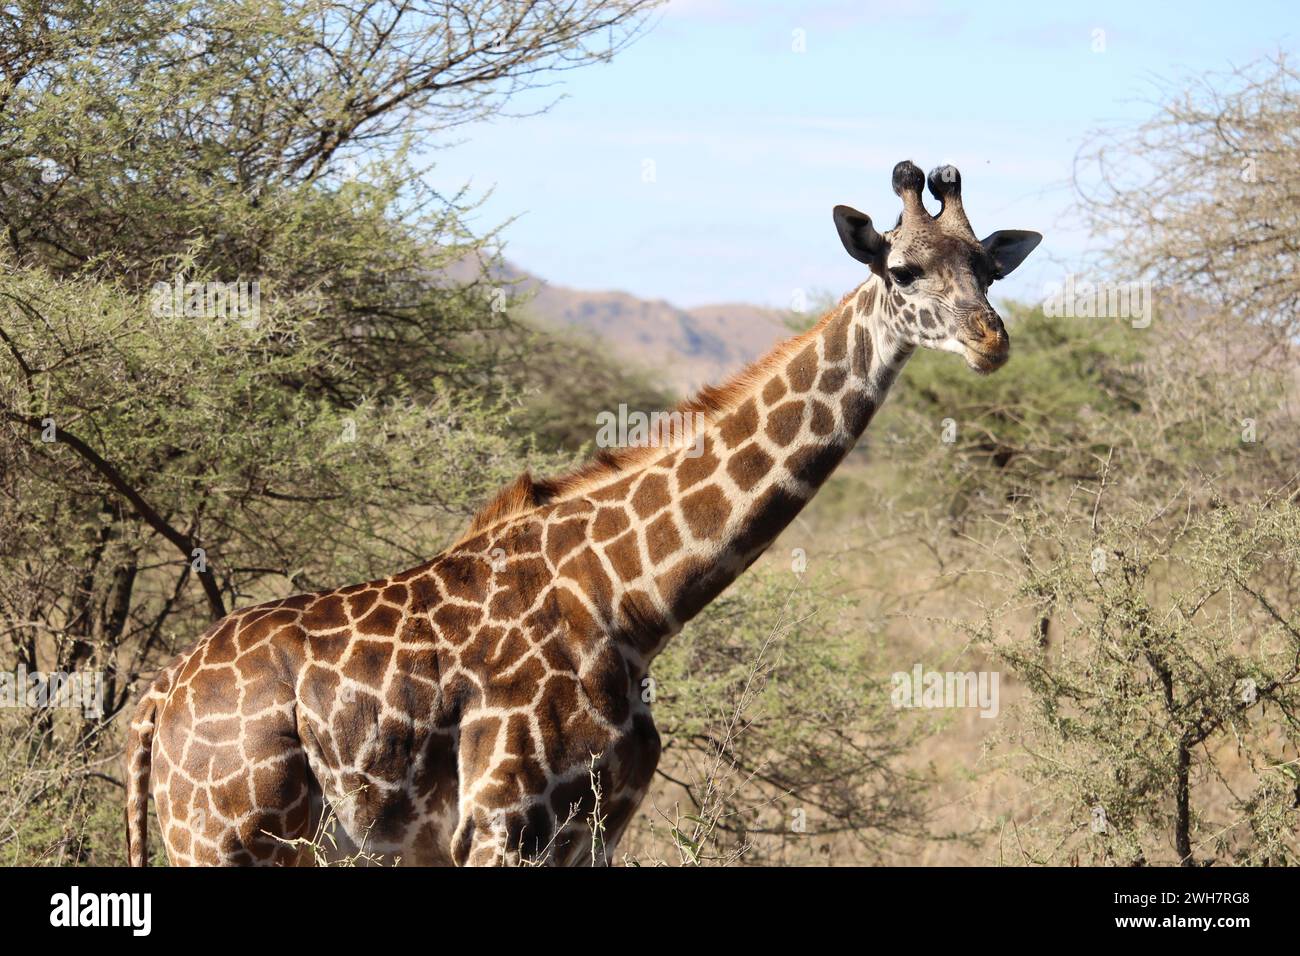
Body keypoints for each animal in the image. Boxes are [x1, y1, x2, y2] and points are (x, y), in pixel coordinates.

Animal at [122, 158, 1034, 868]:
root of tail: (158, 695)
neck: (633, 599)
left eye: (988, 270)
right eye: (904, 271)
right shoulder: (501, 826)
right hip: (229, 838)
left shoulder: (592, 831)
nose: (990, 340)